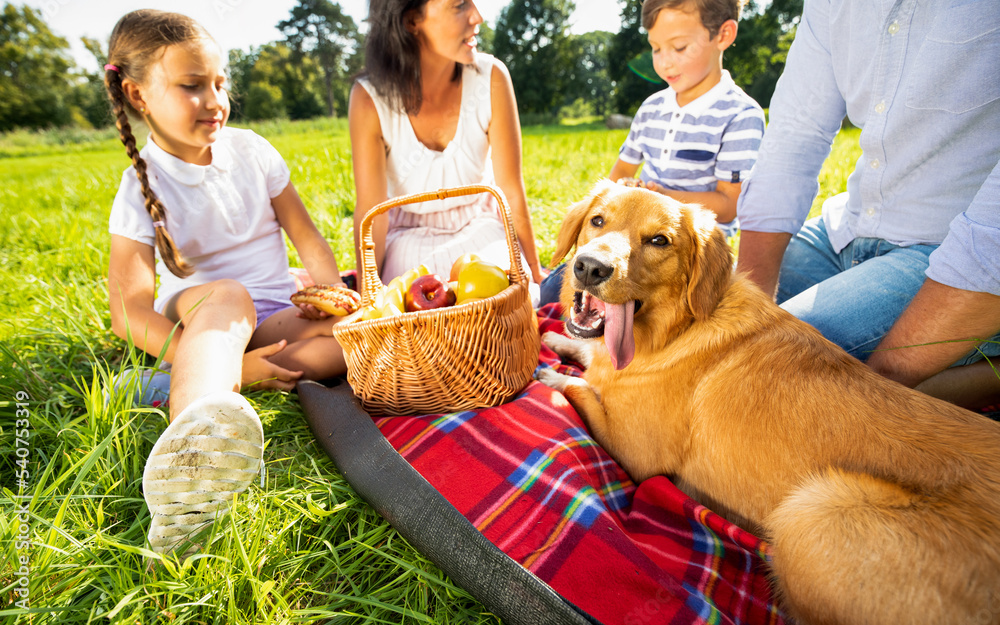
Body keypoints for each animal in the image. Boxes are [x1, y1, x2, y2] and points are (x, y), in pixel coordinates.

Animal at [540, 179, 1000, 624]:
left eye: (659, 241)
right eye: (598, 220)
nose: (589, 267)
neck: (675, 328)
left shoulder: (636, 454)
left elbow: (581, 388)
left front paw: (553, 374)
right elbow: (587, 359)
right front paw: (561, 342)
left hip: (812, 509)